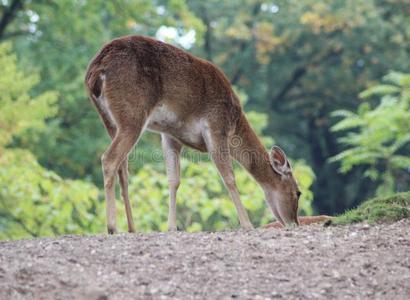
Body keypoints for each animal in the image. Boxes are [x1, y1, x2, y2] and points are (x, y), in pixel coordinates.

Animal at [85, 34, 302, 233]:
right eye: (298, 192)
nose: (294, 223)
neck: (234, 126)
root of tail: (95, 72)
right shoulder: (216, 125)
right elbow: (229, 177)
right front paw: (248, 225)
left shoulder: (170, 135)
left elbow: (173, 180)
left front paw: (171, 227)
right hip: (132, 114)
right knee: (109, 159)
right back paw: (112, 227)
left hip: (109, 120)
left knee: (123, 170)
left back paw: (132, 228)